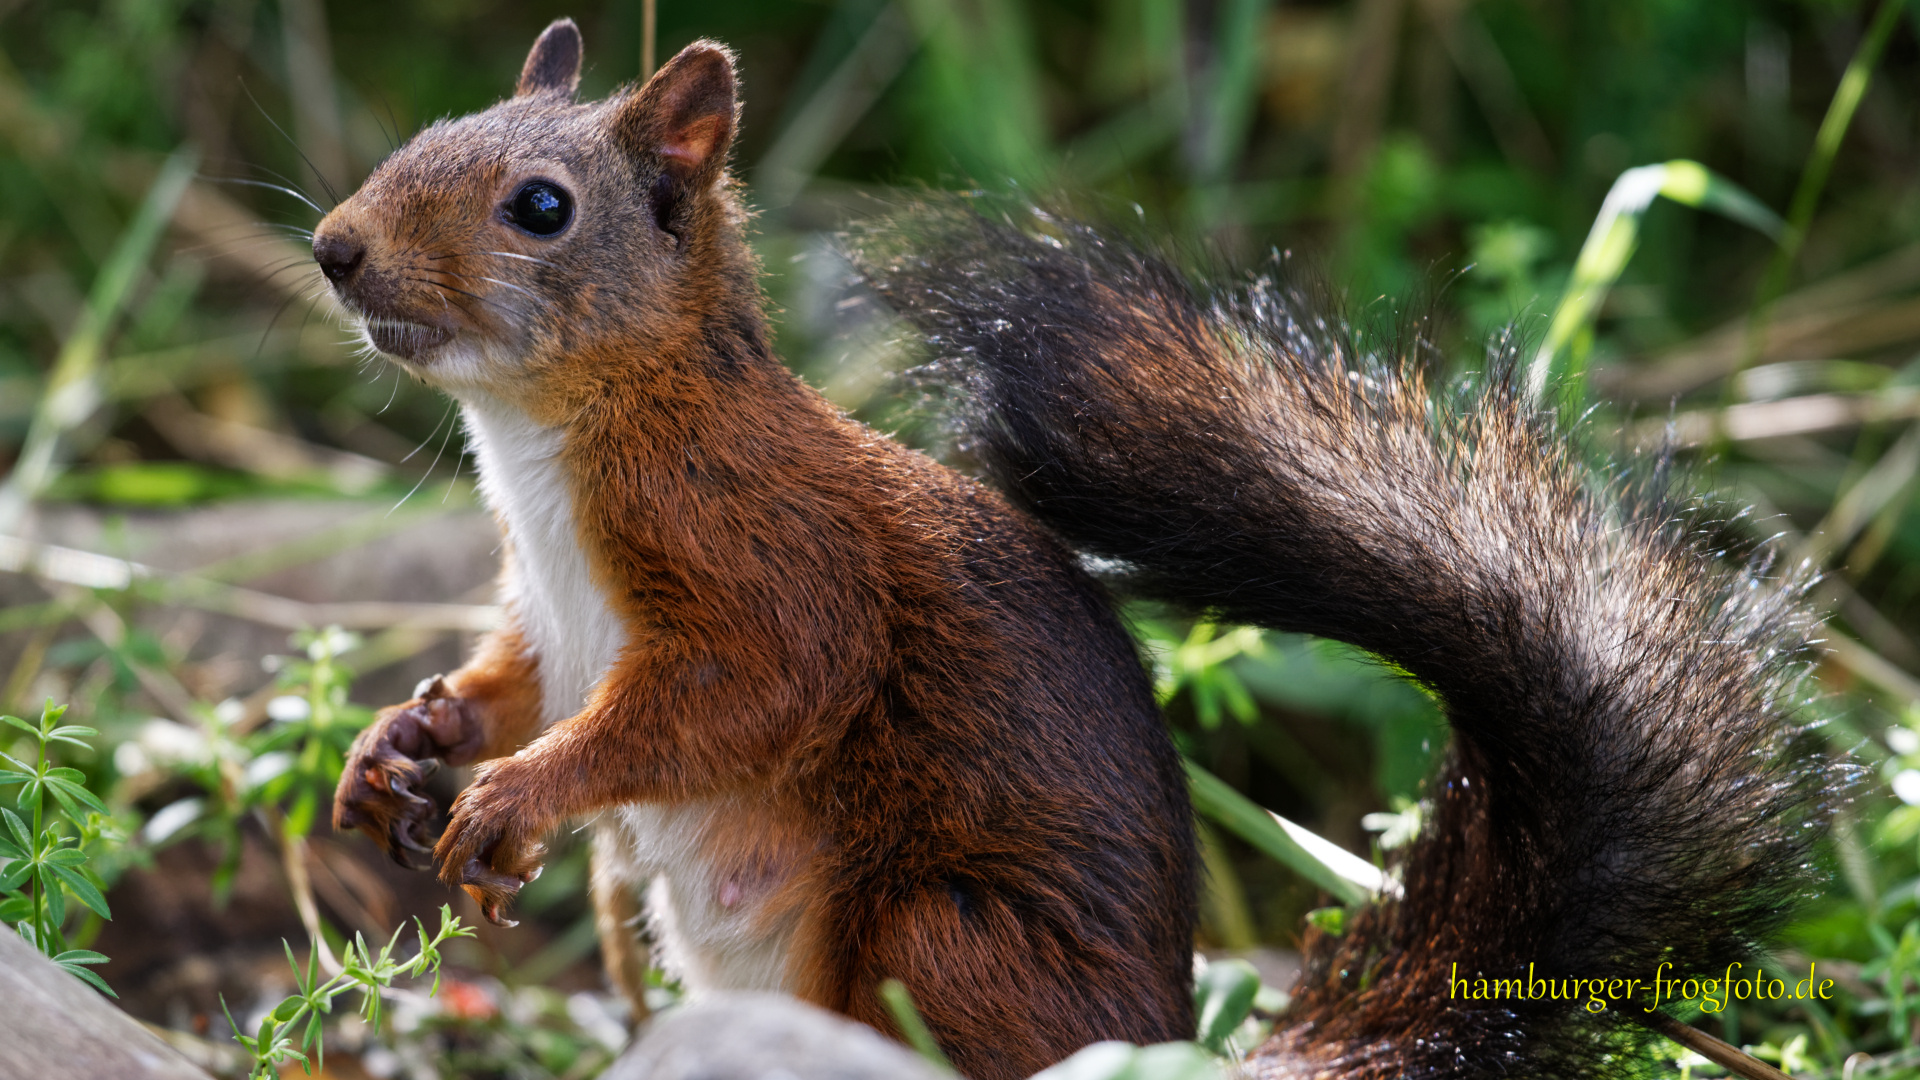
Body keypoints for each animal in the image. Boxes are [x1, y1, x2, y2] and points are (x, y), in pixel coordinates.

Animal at [326, 16, 1843, 1076]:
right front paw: (402, 744)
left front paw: (517, 796)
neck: (547, 450)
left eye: (540, 206)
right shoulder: (544, 609)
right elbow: (512, 681)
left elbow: (758, 688)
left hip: (942, 940)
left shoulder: (764, 548)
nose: (336, 248)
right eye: (434, 127)